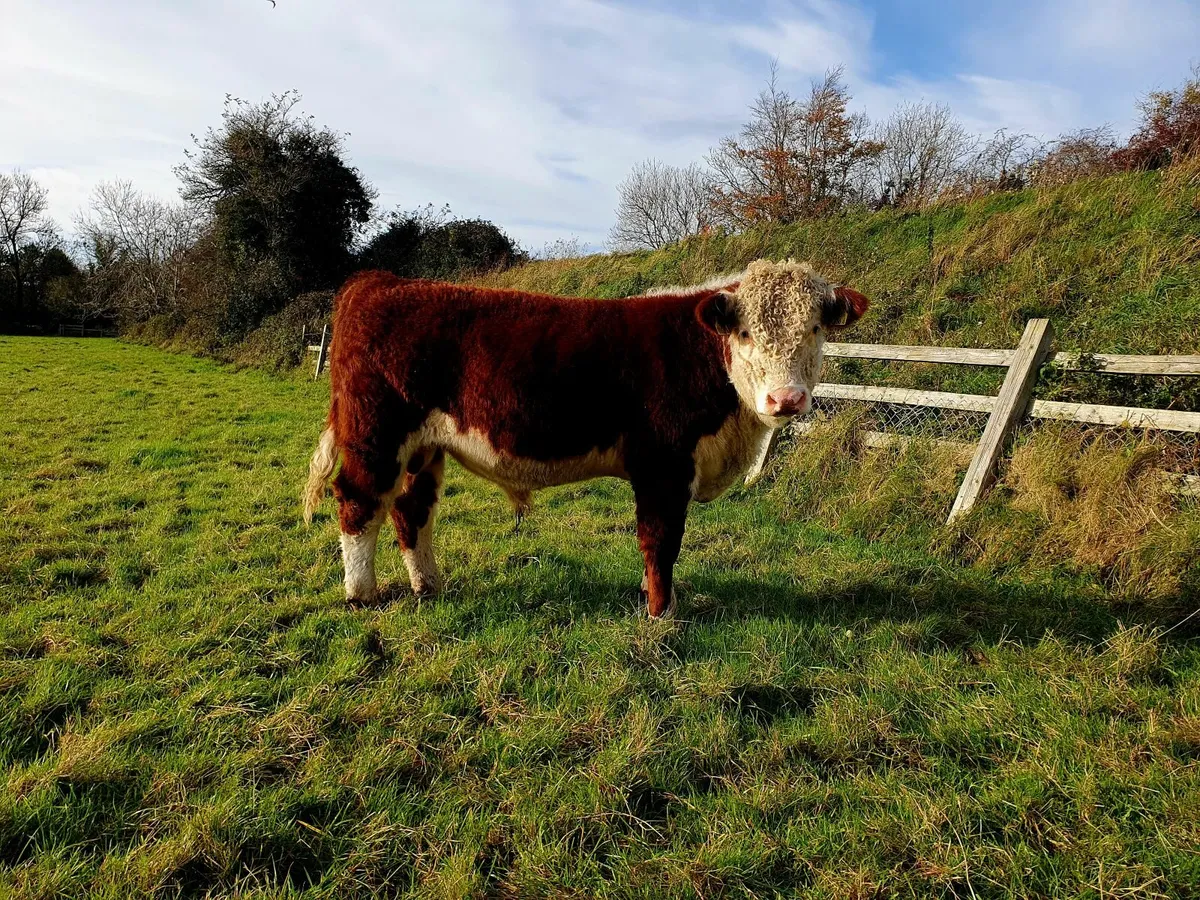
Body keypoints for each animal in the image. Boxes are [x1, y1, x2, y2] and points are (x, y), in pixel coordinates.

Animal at [303, 258, 868, 617]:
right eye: (746, 332)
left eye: (817, 328)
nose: (786, 400)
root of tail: (381, 282)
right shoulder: (662, 466)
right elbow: (660, 540)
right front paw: (662, 613)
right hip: (376, 435)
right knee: (358, 503)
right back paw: (362, 594)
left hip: (424, 447)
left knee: (411, 510)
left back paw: (430, 586)